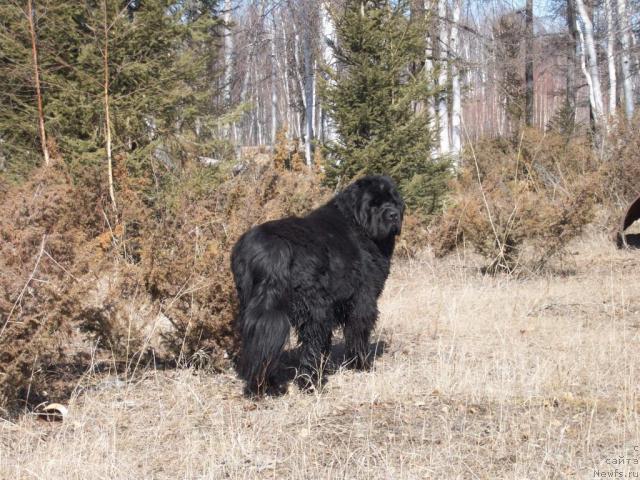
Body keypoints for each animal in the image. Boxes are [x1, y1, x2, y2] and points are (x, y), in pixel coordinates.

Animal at [231, 175, 404, 394]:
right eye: (374, 203)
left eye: (393, 200)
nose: (393, 215)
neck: (358, 224)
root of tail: (272, 247)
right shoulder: (363, 298)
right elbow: (358, 331)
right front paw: (361, 365)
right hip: (315, 305)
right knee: (311, 343)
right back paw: (310, 382)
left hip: (251, 301)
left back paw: (265, 385)